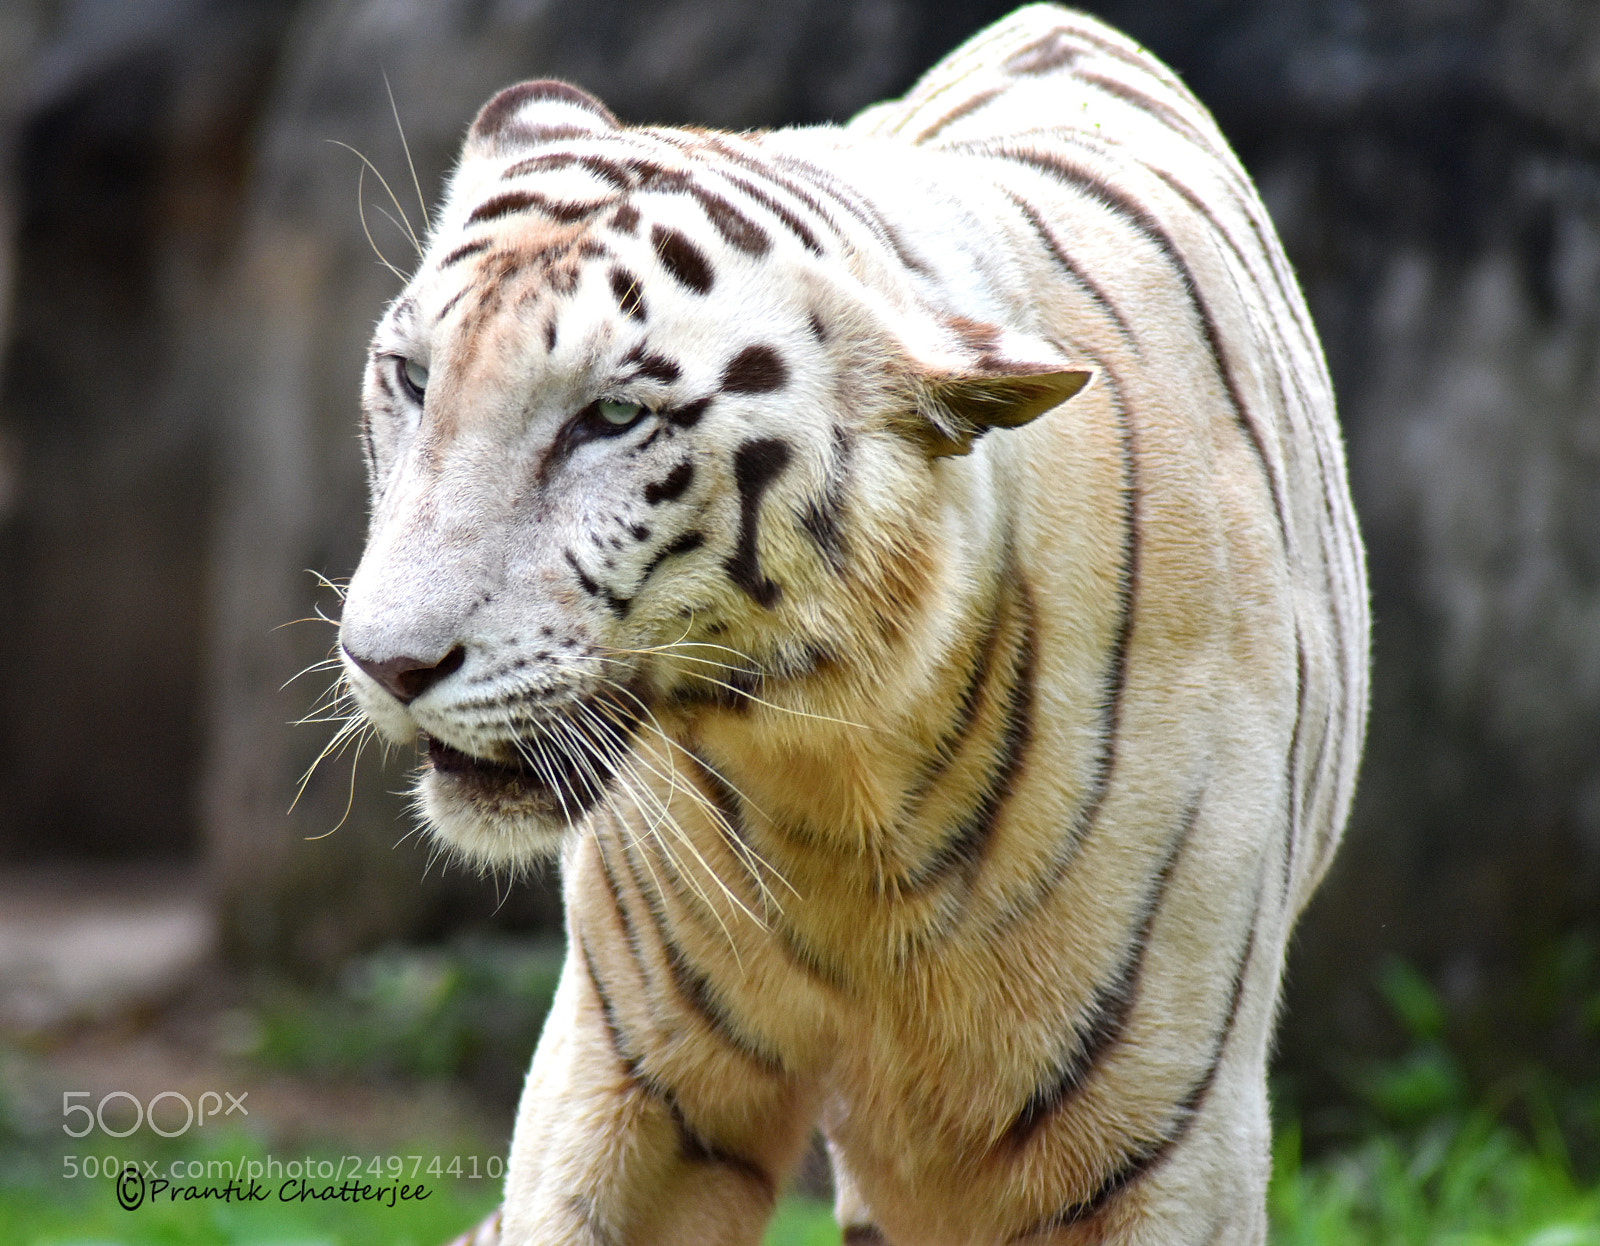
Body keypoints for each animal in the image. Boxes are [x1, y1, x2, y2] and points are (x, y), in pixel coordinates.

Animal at [334, 4, 1368, 1244]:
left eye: (613, 416)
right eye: (410, 377)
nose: (387, 663)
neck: (837, 778)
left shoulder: (1166, 1133)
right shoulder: (626, 1067)